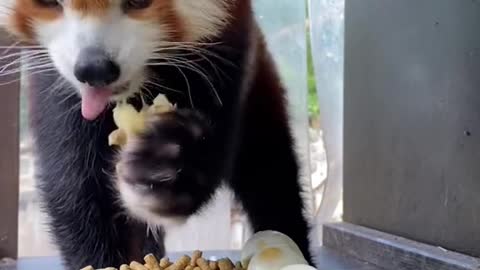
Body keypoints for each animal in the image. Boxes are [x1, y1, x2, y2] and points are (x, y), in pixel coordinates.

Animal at [0, 0, 314, 268]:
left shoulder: (227, 47)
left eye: (139, 1)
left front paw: (166, 161)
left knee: (269, 173)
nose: (94, 69)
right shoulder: (57, 87)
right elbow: (76, 190)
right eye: (48, 2)